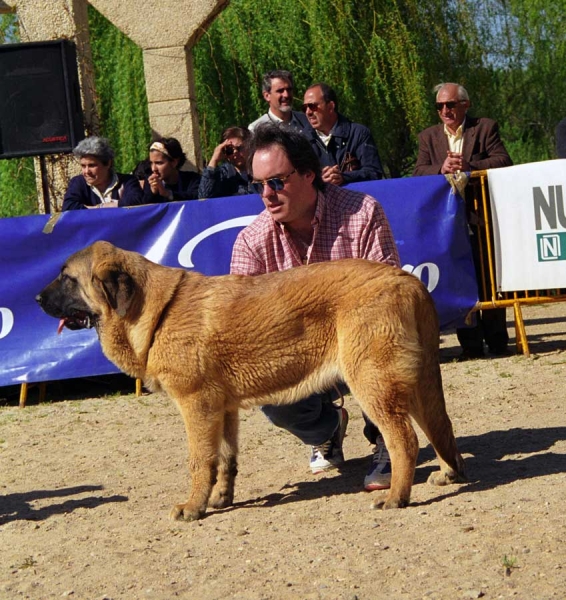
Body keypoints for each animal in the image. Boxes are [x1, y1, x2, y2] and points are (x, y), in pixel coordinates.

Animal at [36, 239, 470, 520]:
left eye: (67, 278)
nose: (36, 299)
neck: (155, 310)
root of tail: (409, 281)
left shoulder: (196, 407)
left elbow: (200, 461)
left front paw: (192, 508)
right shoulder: (222, 411)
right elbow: (225, 459)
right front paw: (220, 499)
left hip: (374, 385)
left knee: (404, 441)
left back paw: (396, 496)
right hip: (415, 386)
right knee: (440, 428)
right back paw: (448, 475)